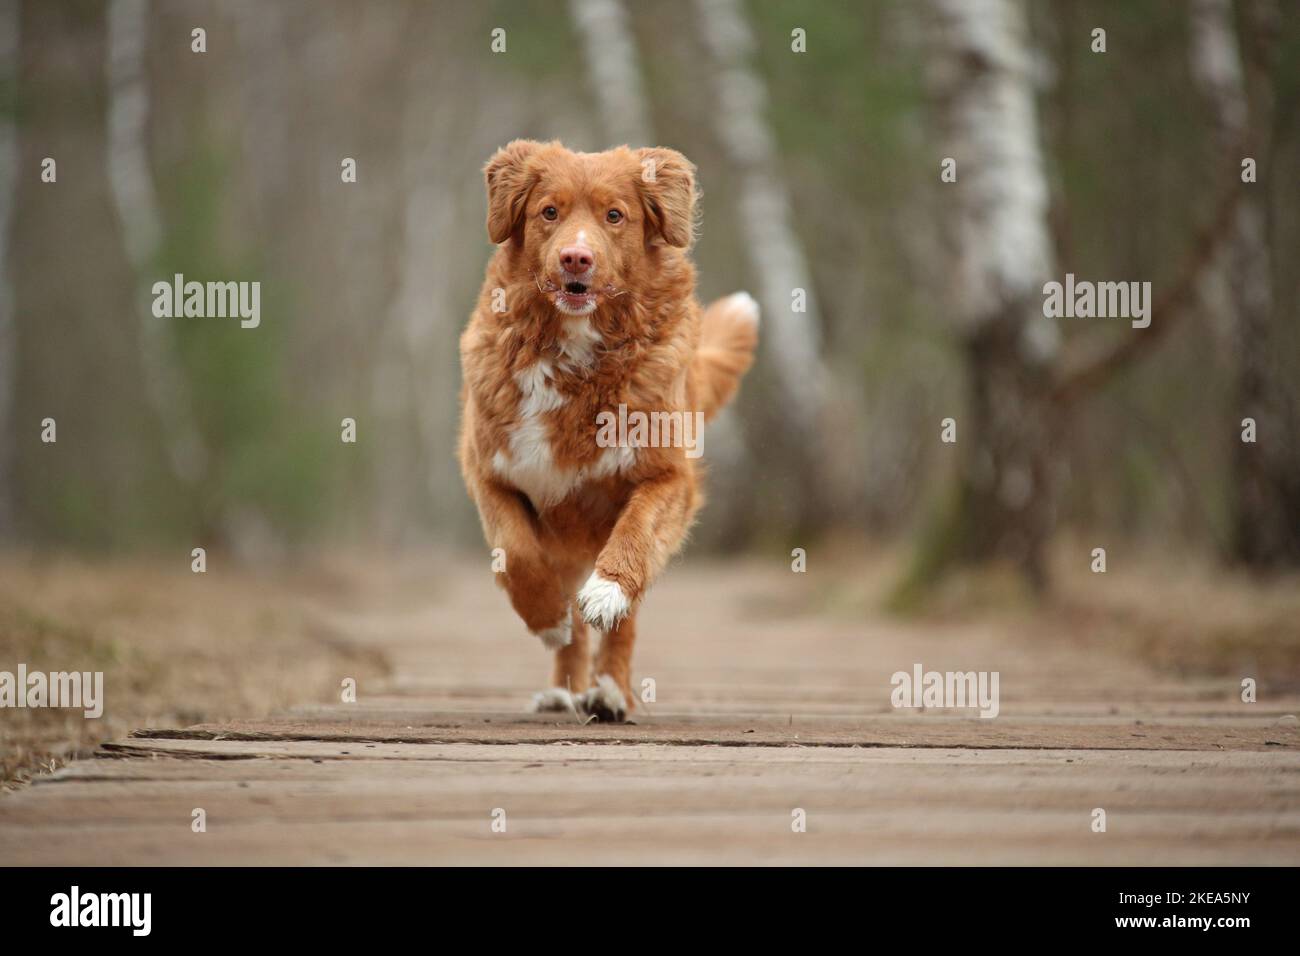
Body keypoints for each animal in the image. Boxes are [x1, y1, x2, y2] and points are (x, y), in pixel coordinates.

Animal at [460, 136, 759, 717]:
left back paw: (609, 691)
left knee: (624, 626)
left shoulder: (668, 477)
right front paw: (548, 619)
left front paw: (608, 591)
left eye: (614, 216)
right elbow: (516, 553)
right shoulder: (489, 470)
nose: (576, 257)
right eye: (549, 212)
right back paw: (565, 687)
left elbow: (635, 536)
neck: (575, 355)